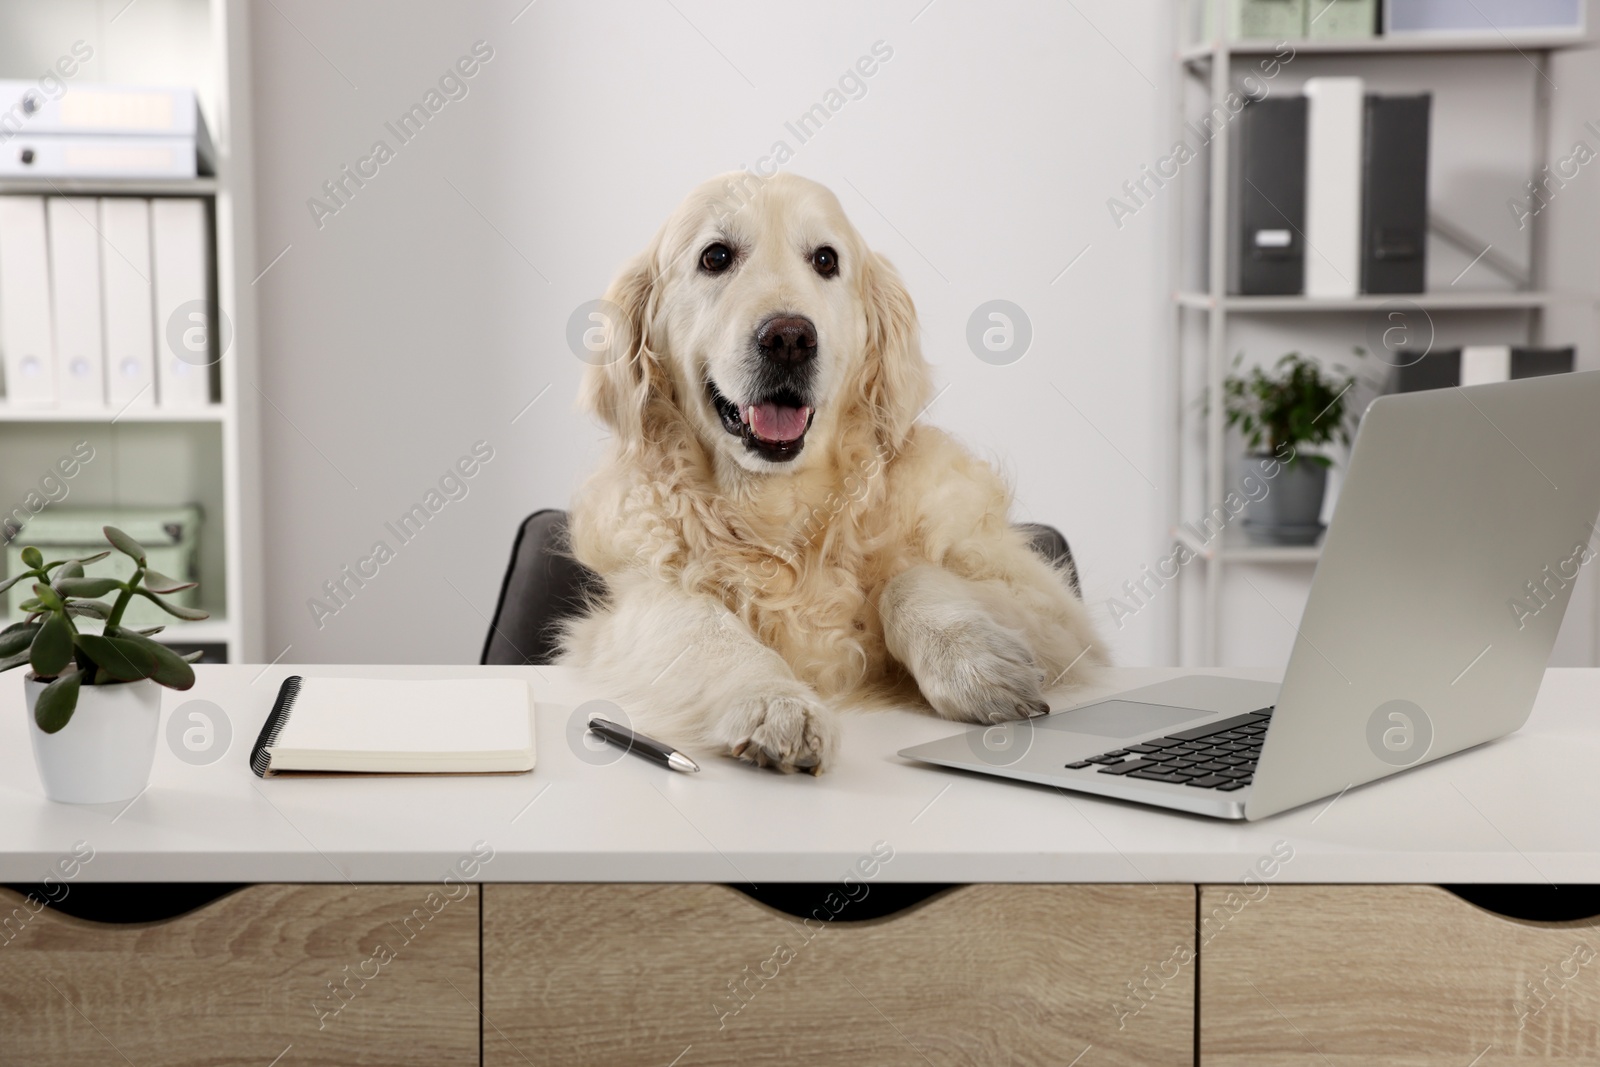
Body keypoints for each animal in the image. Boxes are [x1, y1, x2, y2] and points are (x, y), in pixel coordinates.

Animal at [560, 175, 1100, 777]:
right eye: (715, 257)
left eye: (825, 259)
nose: (790, 338)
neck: (777, 504)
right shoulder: (627, 607)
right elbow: (704, 625)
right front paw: (774, 702)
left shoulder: (1050, 606)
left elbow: (909, 579)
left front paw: (972, 662)